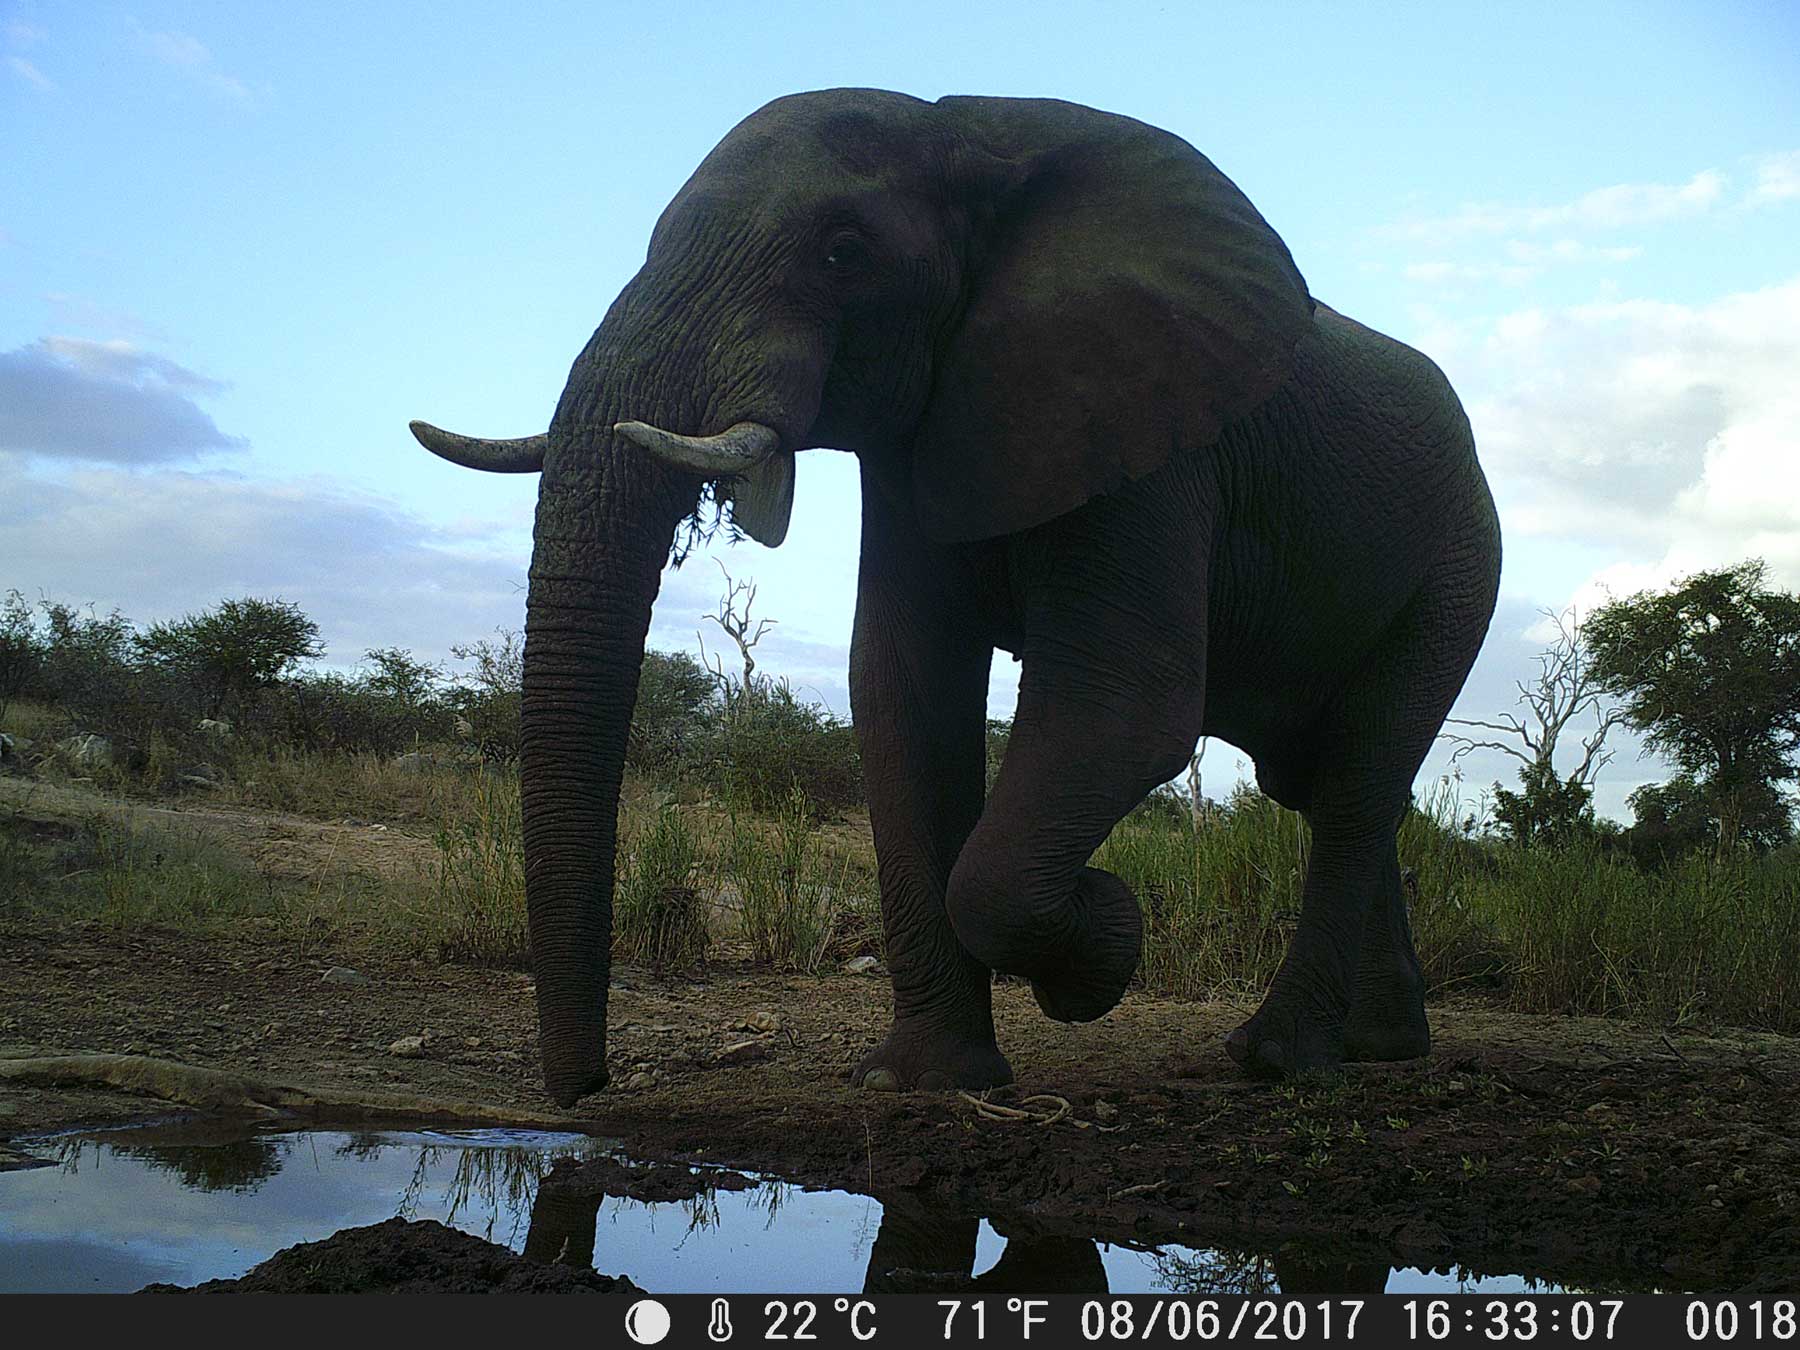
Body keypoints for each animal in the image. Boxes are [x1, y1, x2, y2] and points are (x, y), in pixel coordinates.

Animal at [412, 92, 1504, 1108]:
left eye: (843, 251)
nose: (587, 1092)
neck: (971, 130)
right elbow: (904, 692)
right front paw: (925, 1082)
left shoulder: (1148, 438)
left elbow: (1125, 710)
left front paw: (1107, 946)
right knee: (1322, 785)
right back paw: (1380, 1048)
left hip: (1459, 568)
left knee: (1355, 781)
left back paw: (1279, 1061)